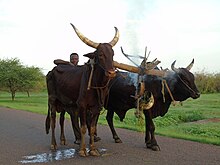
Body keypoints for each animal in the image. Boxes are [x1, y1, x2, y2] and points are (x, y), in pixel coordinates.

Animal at [44, 23, 118, 157]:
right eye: (100, 54)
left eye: (112, 54)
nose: (111, 73)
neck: (96, 82)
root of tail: (51, 70)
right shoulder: (82, 105)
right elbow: (83, 127)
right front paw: (83, 150)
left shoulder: (96, 107)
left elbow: (92, 128)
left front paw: (93, 149)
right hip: (52, 100)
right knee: (52, 121)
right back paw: (54, 144)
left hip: (63, 103)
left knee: (61, 120)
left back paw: (63, 140)